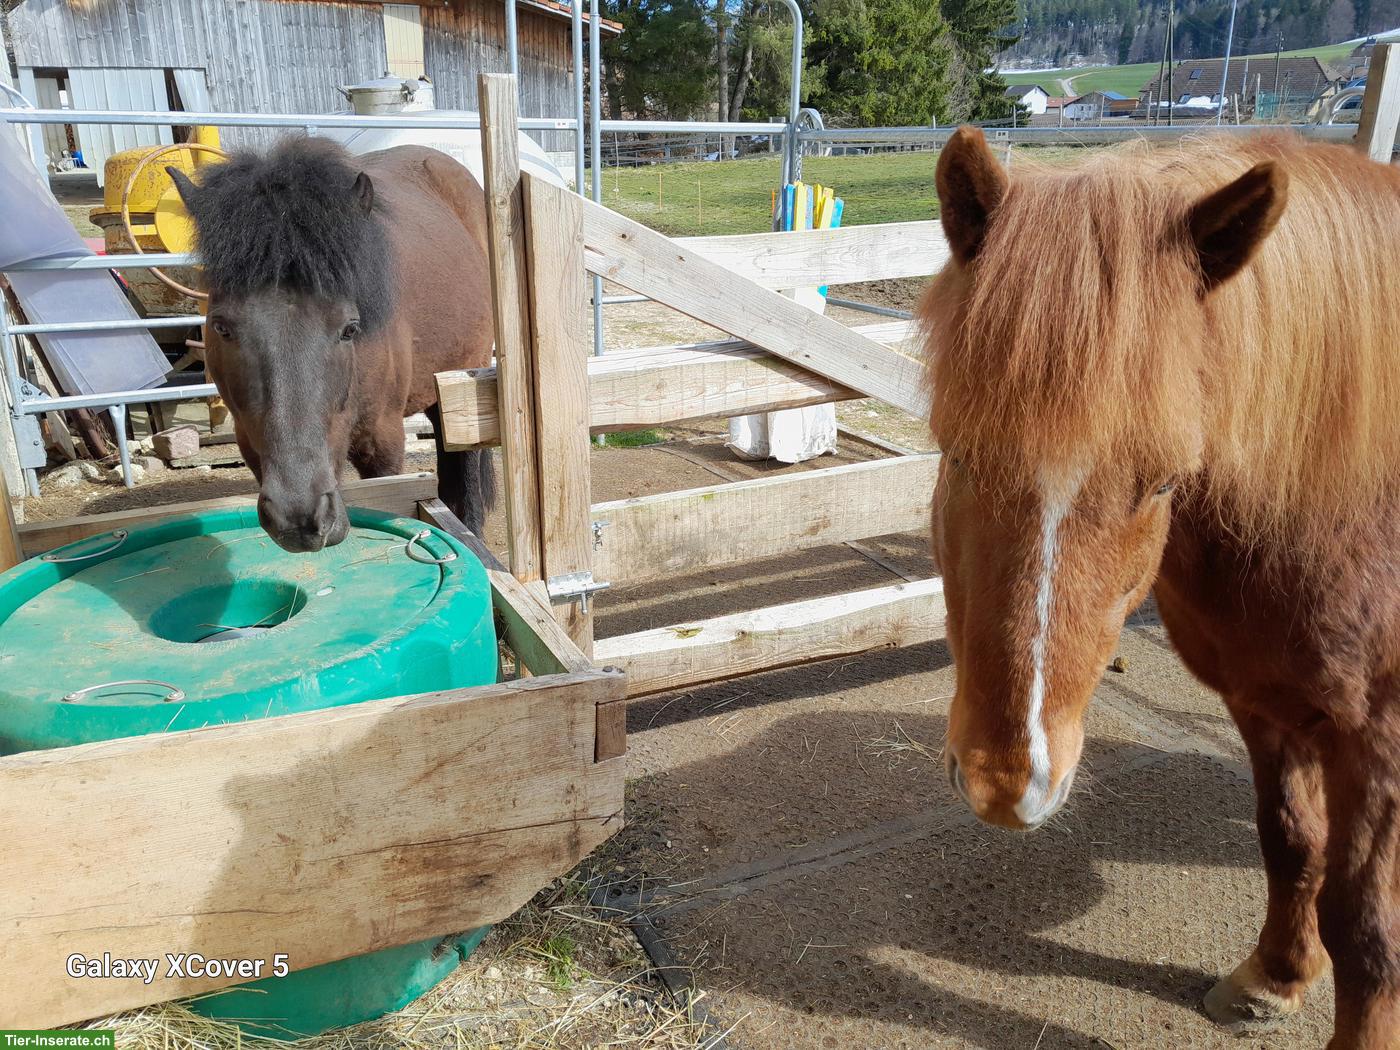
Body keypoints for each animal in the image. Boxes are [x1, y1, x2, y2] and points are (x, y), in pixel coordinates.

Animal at [921, 126, 1400, 1049]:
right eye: (956, 451)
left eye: (1164, 481)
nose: (1007, 785)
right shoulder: (1264, 702)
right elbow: (1292, 841)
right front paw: (1276, 977)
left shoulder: (1378, 738)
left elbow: (1366, 928)